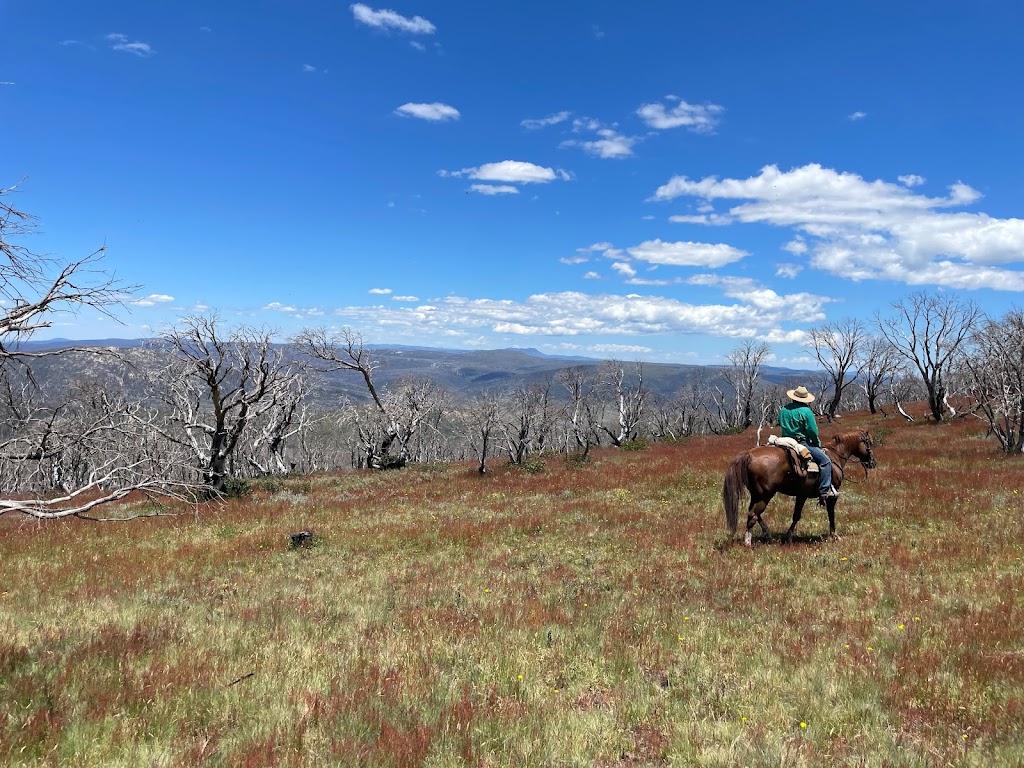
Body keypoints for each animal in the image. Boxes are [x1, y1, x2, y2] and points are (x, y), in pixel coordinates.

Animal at [720, 428, 880, 548]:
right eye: (869, 443)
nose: (873, 462)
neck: (835, 456)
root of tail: (749, 454)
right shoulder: (831, 496)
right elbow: (831, 514)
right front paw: (835, 536)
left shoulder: (801, 495)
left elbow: (796, 515)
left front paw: (789, 537)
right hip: (765, 494)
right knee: (753, 514)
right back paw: (748, 543)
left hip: (757, 494)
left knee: (754, 513)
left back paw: (768, 536)